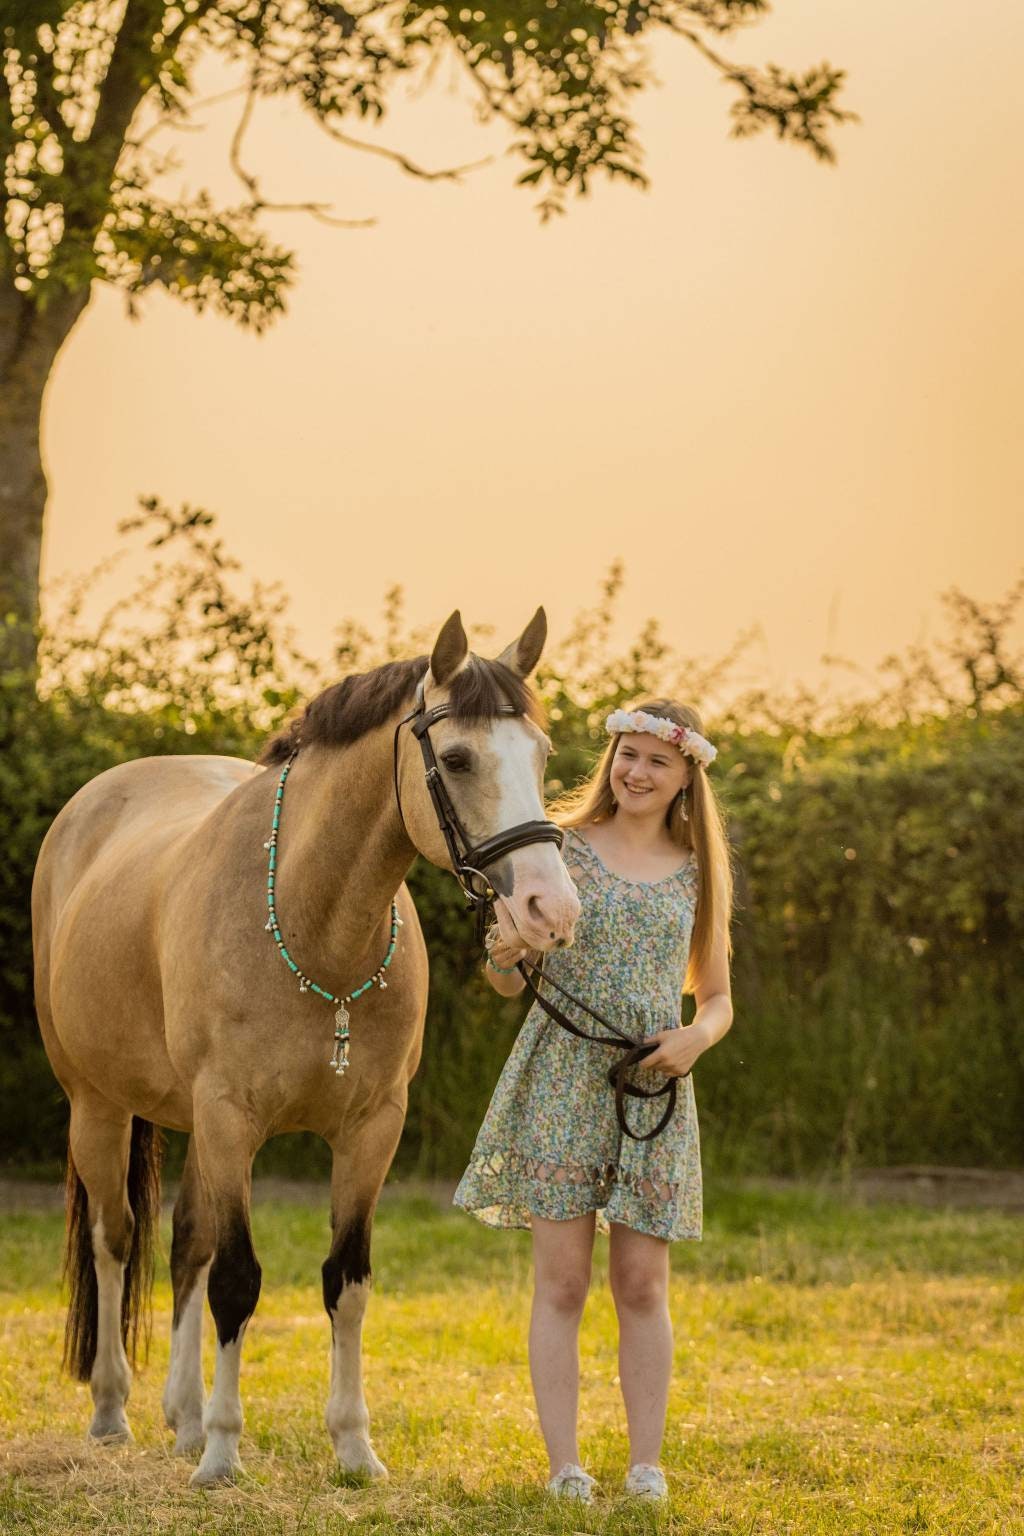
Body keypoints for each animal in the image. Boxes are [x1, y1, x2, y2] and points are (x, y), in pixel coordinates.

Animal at [32, 608, 579, 1487]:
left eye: (543, 754)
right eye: (459, 757)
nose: (548, 908)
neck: (313, 922)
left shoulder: (369, 1131)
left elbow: (344, 1282)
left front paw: (353, 1447)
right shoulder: (231, 1119)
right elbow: (237, 1280)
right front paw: (224, 1453)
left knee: (183, 1244)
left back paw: (182, 1418)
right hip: (99, 1108)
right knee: (115, 1241)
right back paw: (115, 1411)